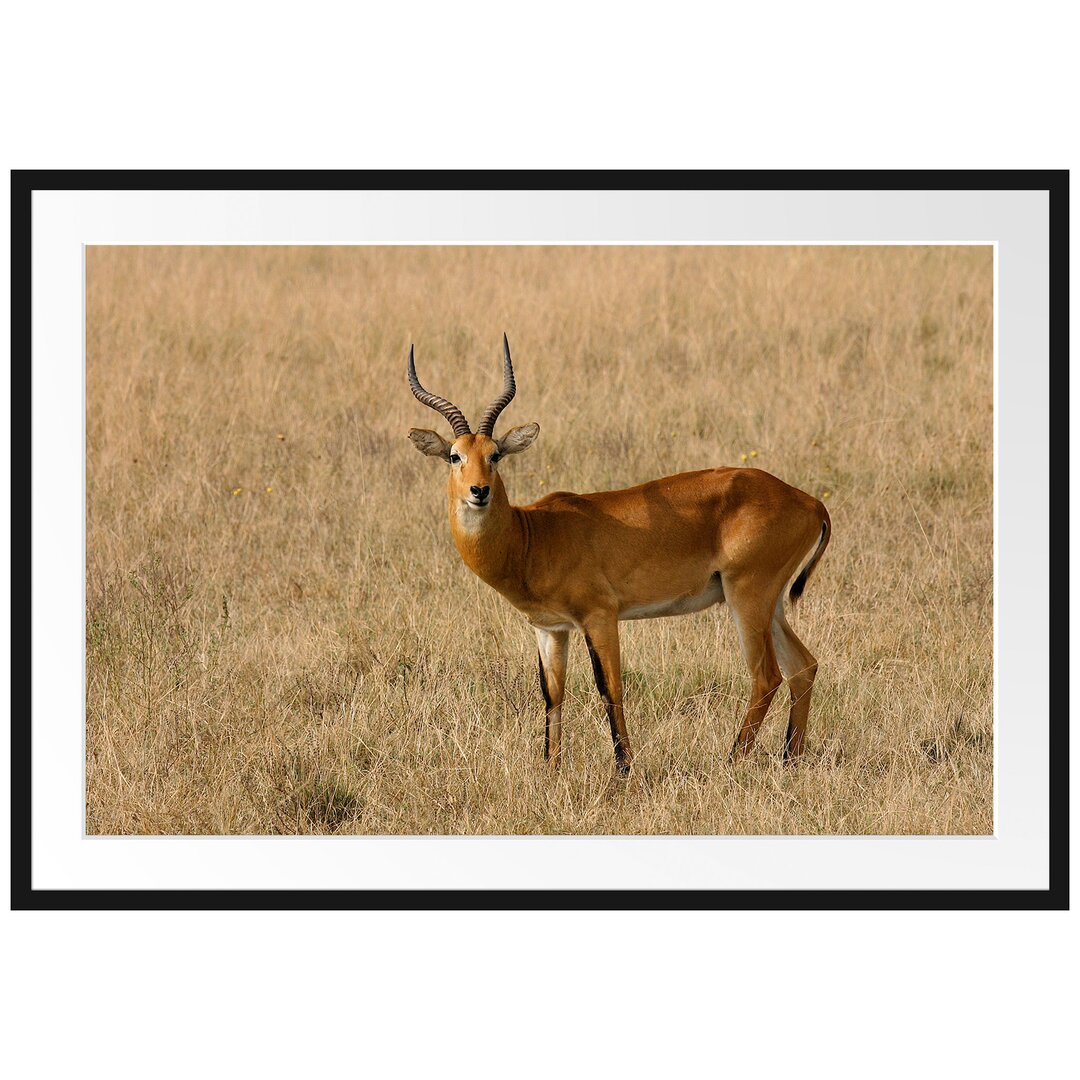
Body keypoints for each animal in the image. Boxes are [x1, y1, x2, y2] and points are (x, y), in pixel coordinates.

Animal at [408, 332, 829, 773]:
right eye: (455, 455)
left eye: (495, 454)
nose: (479, 491)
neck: (533, 536)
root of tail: (809, 501)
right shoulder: (550, 628)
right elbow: (552, 694)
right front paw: (550, 768)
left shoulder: (601, 616)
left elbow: (609, 687)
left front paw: (624, 768)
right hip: (771, 603)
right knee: (803, 667)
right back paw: (790, 758)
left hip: (746, 596)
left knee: (766, 675)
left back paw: (731, 761)